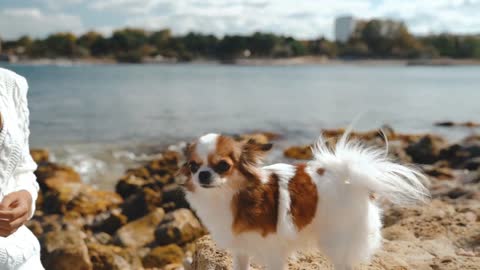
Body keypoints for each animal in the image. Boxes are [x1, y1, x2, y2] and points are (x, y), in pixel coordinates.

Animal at [177, 132, 428, 270]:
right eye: (193, 166)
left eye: (223, 166)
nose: (203, 175)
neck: (232, 195)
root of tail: (352, 177)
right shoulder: (241, 250)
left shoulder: (273, 252)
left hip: (336, 242)